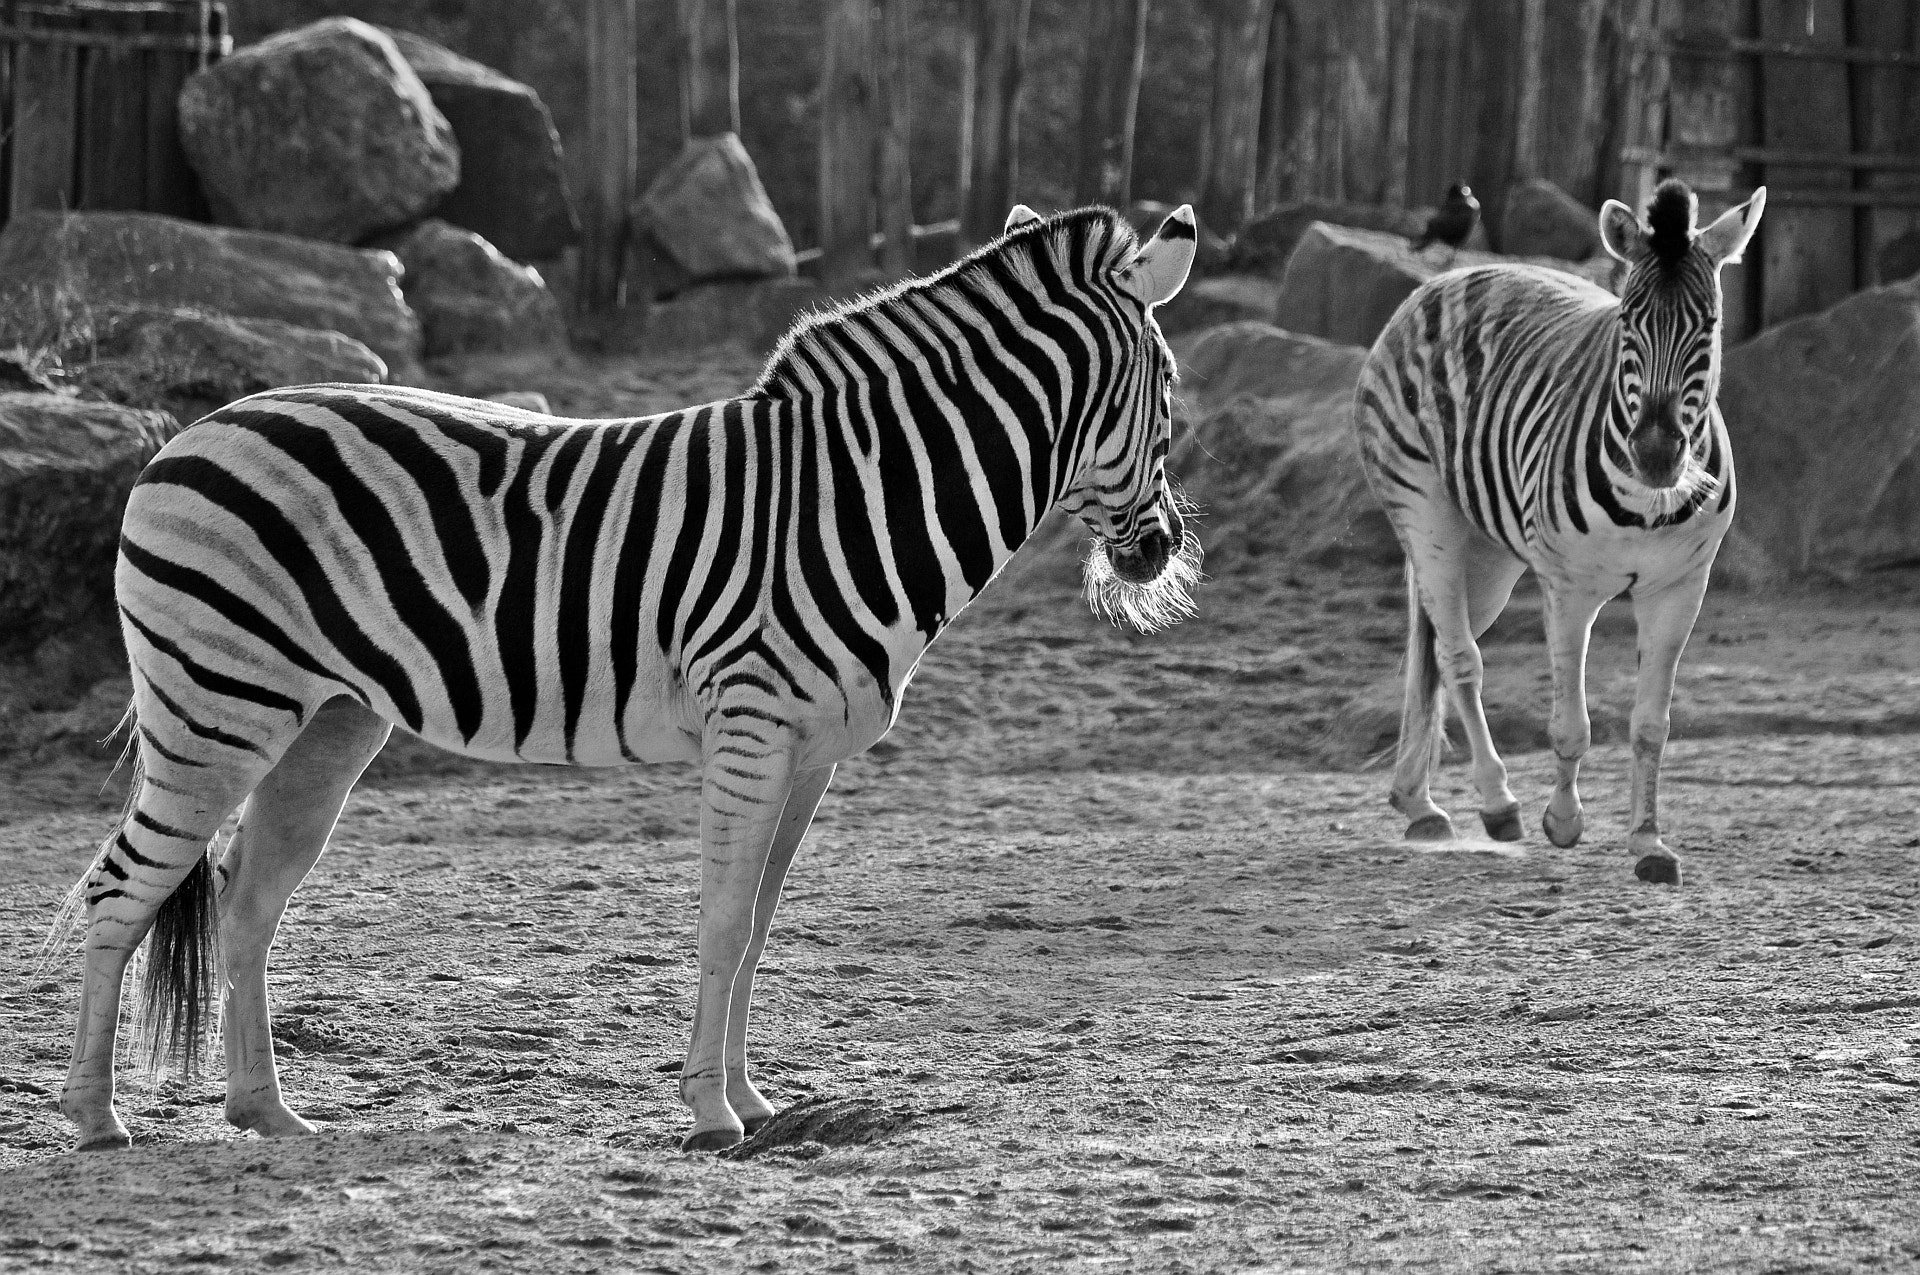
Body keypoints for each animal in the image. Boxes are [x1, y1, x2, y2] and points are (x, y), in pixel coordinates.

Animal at [50, 203, 1201, 1154]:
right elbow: (725, 920)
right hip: (217, 704)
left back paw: (266, 1111)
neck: (859, 493)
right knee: (123, 886)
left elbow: (757, 926)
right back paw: (97, 1119)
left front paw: (754, 1100)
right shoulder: (751, 723)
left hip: (324, 719)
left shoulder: (810, 752)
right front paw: (709, 1112)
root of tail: (183, 436)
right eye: (1170, 390)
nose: (1160, 554)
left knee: (246, 898)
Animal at [1353, 179, 1765, 886]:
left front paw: (1649, 843)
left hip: (1487, 555)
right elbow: (1572, 724)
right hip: (1425, 510)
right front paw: (1565, 822)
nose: (1657, 453)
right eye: (1628, 321)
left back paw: (1418, 802)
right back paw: (1496, 803)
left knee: (1432, 644)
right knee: (1459, 657)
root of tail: (1447, 280)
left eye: (1710, 327)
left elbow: (1651, 725)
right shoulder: (1569, 587)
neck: (1647, 502)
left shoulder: (1681, 588)